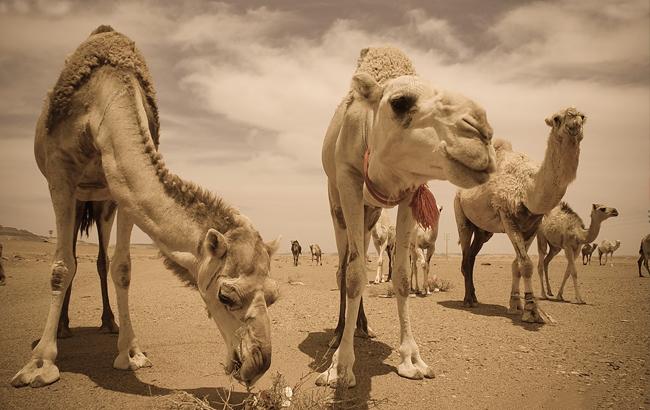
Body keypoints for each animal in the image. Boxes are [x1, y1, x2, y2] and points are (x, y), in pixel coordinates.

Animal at [11, 25, 278, 388]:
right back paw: (62, 330)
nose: (258, 363)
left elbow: (122, 268)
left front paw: (131, 354)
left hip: (102, 202)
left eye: (274, 294)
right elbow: (61, 267)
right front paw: (39, 365)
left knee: (99, 258)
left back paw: (108, 323)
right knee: (71, 255)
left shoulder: (120, 190)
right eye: (226, 297)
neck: (101, 101)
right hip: (78, 196)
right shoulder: (59, 173)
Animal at [316, 46, 494, 386]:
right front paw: (340, 367)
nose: (483, 133)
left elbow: (399, 274)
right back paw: (338, 332)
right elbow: (354, 275)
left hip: (370, 212)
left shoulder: (410, 190)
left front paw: (412, 360)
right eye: (400, 102)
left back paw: (363, 327)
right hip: (337, 203)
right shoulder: (348, 180)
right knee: (344, 265)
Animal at [454, 106, 584, 324]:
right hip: (462, 216)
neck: (528, 188)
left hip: (484, 231)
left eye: (583, 117)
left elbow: (517, 264)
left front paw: (515, 304)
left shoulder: (533, 224)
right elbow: (526, 264)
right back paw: (467, 300)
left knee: (471, 256)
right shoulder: (507, 215)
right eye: (557, 118)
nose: (574, 123)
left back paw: (475, 298)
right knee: (465, 256)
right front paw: (531, 311)